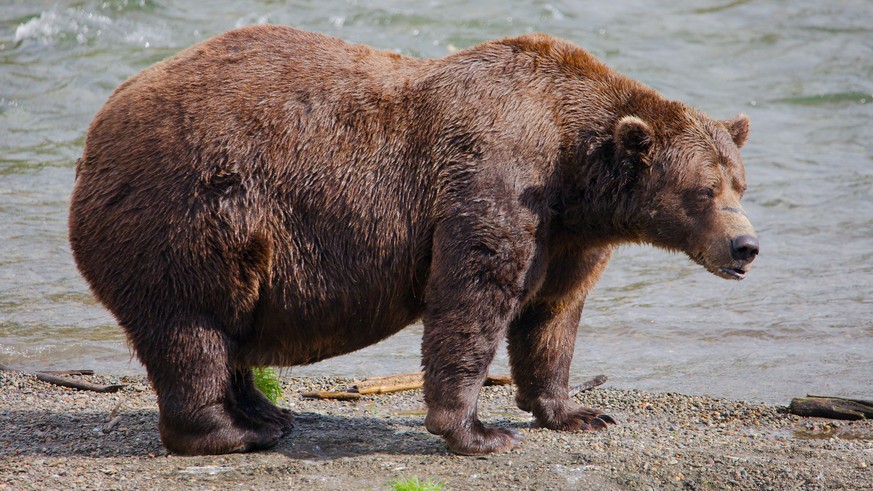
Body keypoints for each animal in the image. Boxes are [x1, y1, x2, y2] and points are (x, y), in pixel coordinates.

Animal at [68, 25, 759, 456]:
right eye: (703, 191)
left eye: (740, 184)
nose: (745, 247)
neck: (574, 172)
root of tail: (95, 133)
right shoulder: (496, 179)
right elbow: (473, 296)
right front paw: (479, 432)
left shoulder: (567, 236)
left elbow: (552, 316)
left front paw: (578, 412)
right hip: (189, 214)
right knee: (192, 327)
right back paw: (232, 432)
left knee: (228, 329)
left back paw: (268, 413)